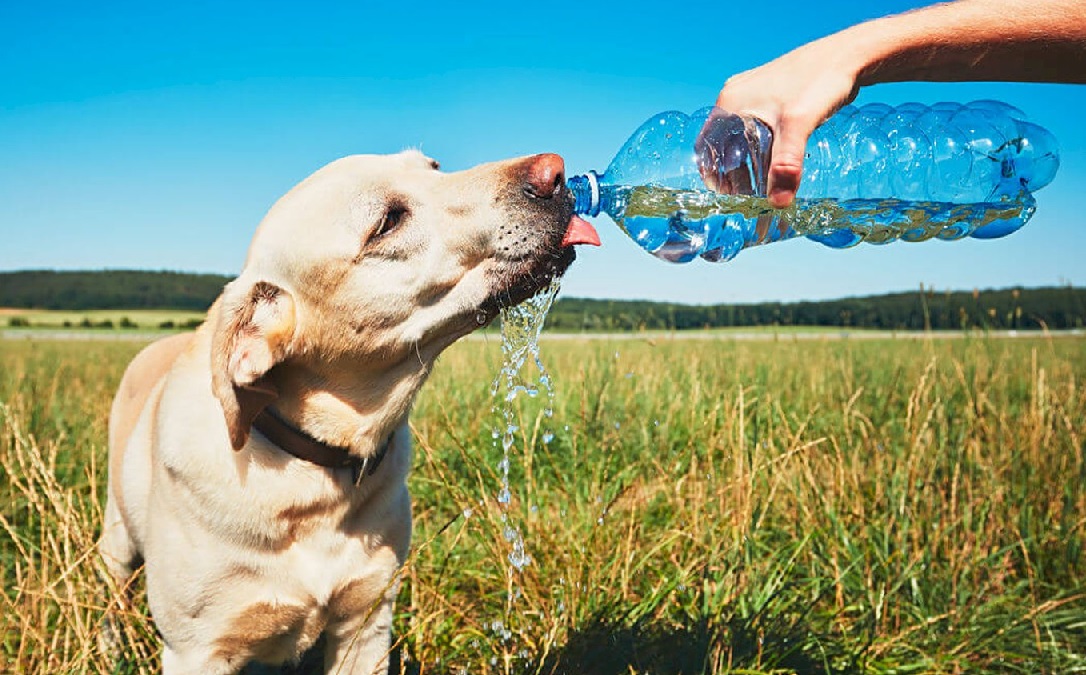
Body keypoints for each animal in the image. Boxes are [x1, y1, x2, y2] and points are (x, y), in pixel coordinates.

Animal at [102, 150, 603, 672]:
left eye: (433, 166)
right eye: (387, 222)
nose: (555, 171)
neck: (312, 475)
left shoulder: (367, 622)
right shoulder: (197, 651)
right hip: (116, 538)